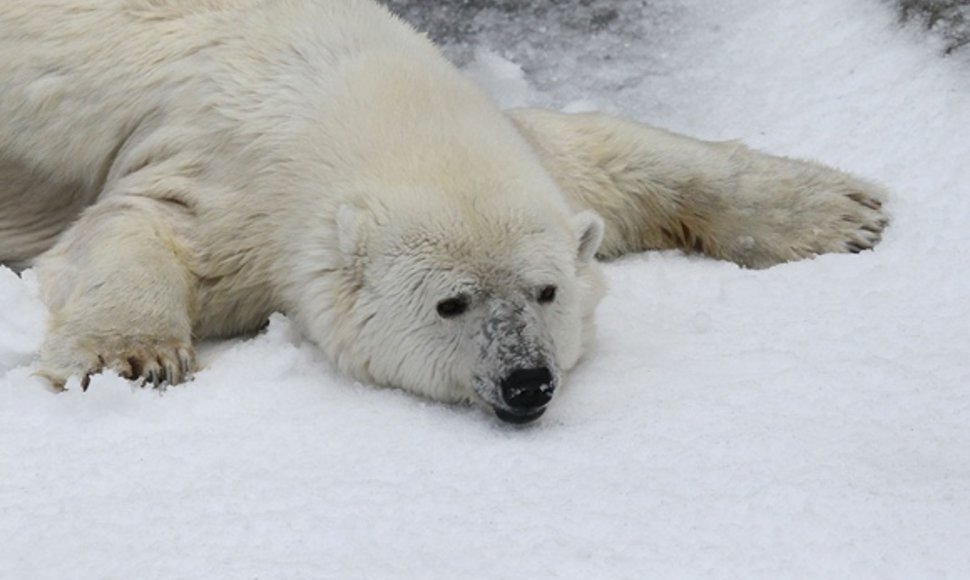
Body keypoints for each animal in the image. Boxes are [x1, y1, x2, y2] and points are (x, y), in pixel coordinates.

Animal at [0, 1, 884, 426]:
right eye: (450, 303)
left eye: (546, 292)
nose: (527, 381)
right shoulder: (231, 181)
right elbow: (140, 230)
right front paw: (130, 361)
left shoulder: (527, 157)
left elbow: (609, 153)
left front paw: (845, 210)